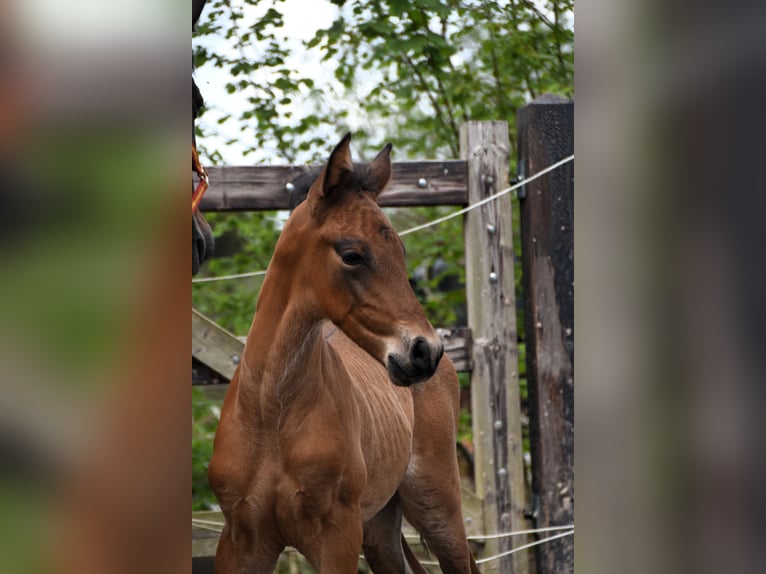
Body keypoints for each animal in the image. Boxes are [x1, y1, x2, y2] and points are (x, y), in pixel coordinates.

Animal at [210, 136, 480, 574]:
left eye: (401, 251)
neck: (272, 412)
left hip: (438, 508)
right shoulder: (241, 540)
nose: (425, 351)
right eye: (352, 254)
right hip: (380, 528)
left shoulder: (336, 537)